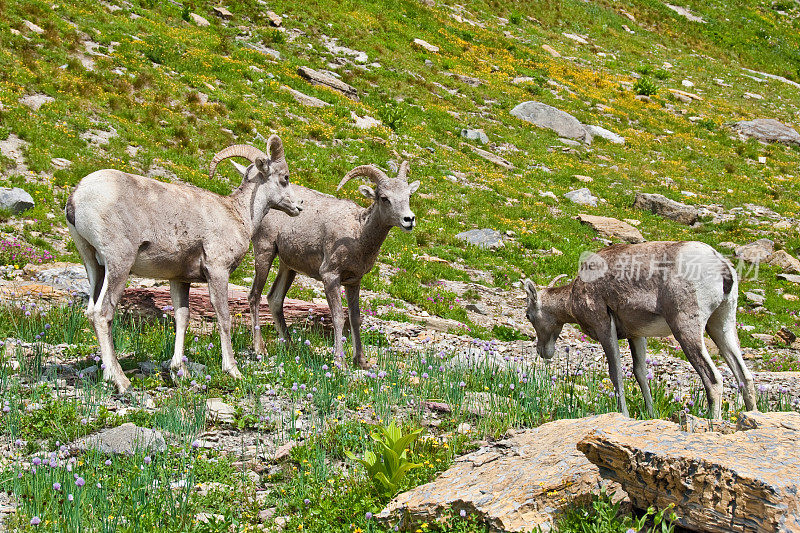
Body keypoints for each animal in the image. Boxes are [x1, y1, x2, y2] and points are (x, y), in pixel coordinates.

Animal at [66, 135, 300, 390]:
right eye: (285, 178)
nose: (299, 206)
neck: (239, 214)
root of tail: (76, 197)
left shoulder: (179, 279)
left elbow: (182, 318)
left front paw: (181, 371)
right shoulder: (218, 271)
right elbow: (224, 317)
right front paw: (233, 370)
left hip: (93, 265)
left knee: (91, 311)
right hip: (119, 264)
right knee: (103, 313)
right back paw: (120, 380)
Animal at [245, 161, 418, 366]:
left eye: (408, 195)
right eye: (384, 198)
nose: (409, 220)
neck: (358, 234)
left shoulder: (353, 282)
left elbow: (354, 318)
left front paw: (361, 361)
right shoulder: (330, 277)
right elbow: (338, 317)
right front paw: (339, 362)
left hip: (288, 266)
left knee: (274, 299)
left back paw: (290, 346)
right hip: (264, 253)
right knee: (254, 296)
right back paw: (260, 349)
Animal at [524, 241, 756, 420]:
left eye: (528, 316)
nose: (543, 351)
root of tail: (721, 266)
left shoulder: (604, 326)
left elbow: (616, 372)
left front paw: (624, 414)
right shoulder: (637, 335)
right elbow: (640, 373)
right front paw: (651, 414)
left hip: (686, 328)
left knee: (714, 379)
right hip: (722, 324)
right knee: (745, 377)